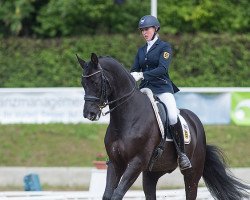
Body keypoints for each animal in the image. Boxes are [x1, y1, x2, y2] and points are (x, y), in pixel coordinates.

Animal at [77, 52, 249, 199]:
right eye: (83, 83)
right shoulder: (116, 162)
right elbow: (108, 195)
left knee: (190, 191)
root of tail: (195, 122)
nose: (89, 114)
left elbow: (117, 194)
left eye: (96, 82)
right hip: (152, 172)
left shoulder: (136, 162)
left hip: (192, 173)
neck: (126, 119)